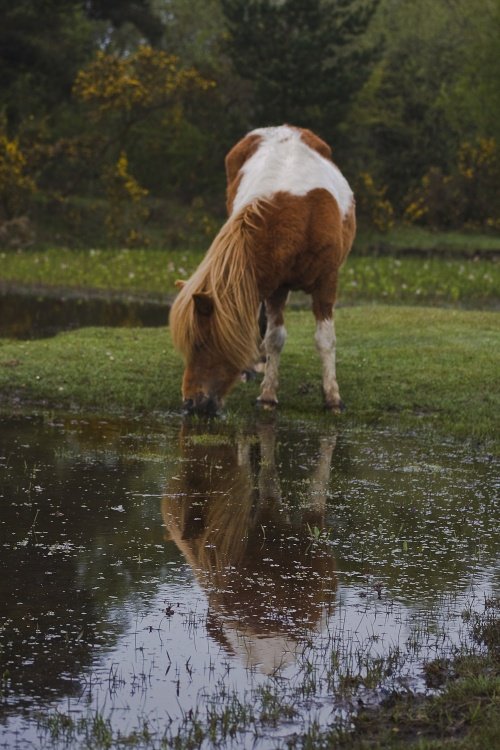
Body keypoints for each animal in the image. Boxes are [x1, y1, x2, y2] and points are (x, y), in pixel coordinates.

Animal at [170, 124, 358, 418]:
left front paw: (333, 398)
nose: (191, 404)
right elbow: (274, 338)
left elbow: (325, 339)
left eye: (200, 344)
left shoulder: (327, 280)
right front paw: (268, 395)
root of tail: (283, 128)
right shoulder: (276, 286)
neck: (303, 218)